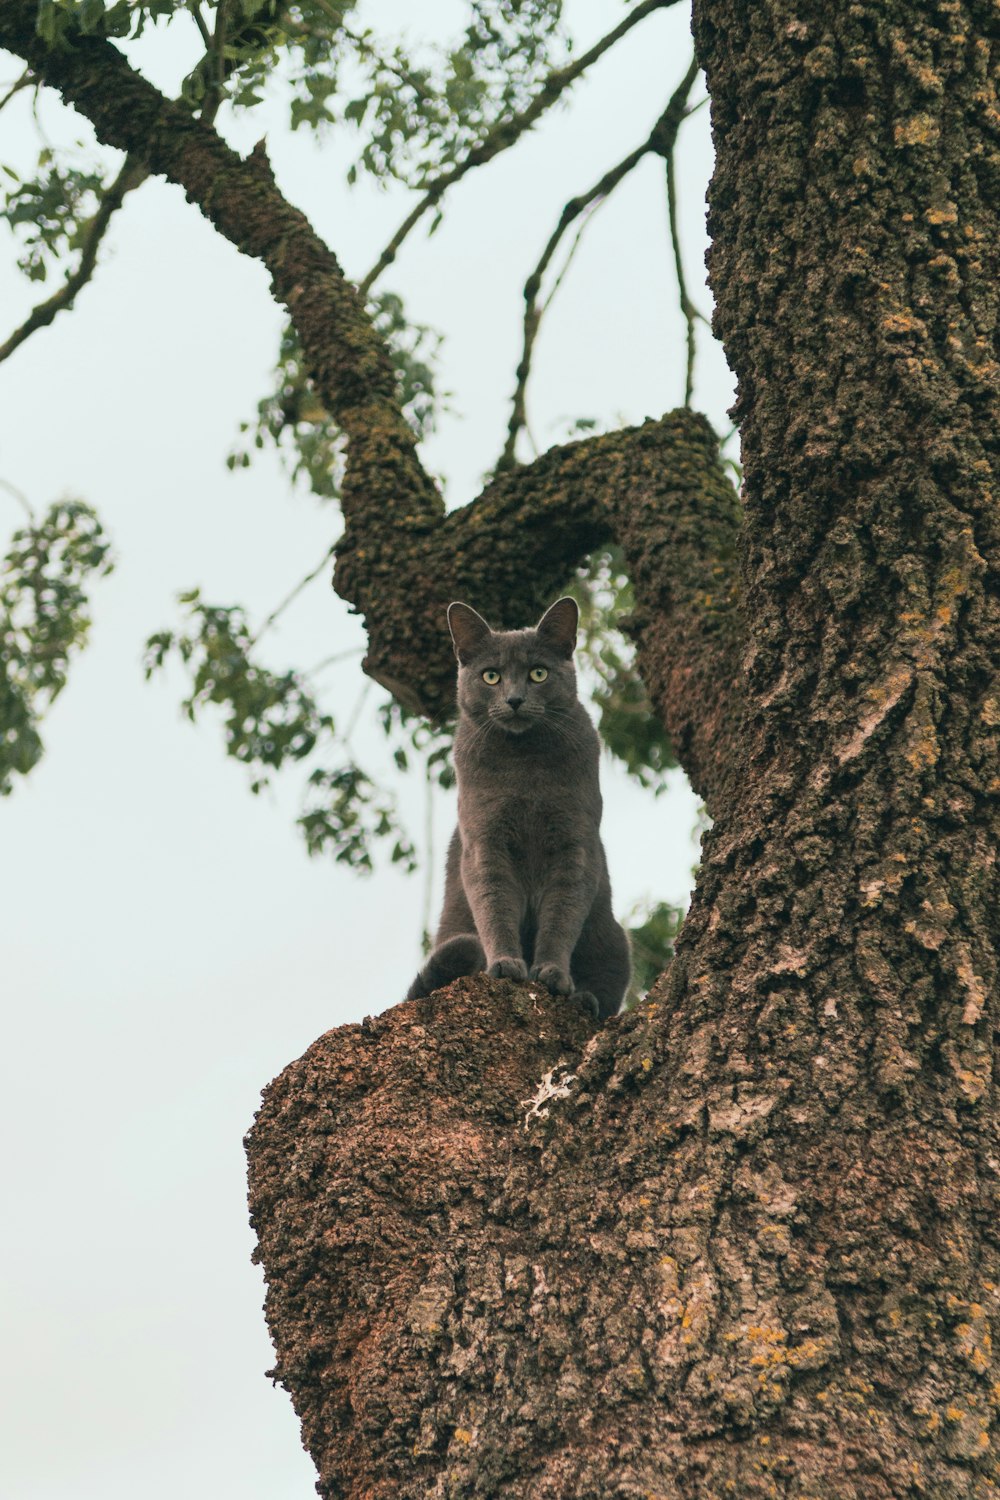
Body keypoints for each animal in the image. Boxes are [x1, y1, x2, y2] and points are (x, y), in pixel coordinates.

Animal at [404, 597, 626, 1020]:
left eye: (538, 673)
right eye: (491, 676)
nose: (515, 699)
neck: (525, 765)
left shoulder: (575, 843)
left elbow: (562, 914)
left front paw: (552, 974)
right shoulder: (484, 843)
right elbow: (495, 904)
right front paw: (506, 965)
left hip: (614, 940)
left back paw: (585, 999)